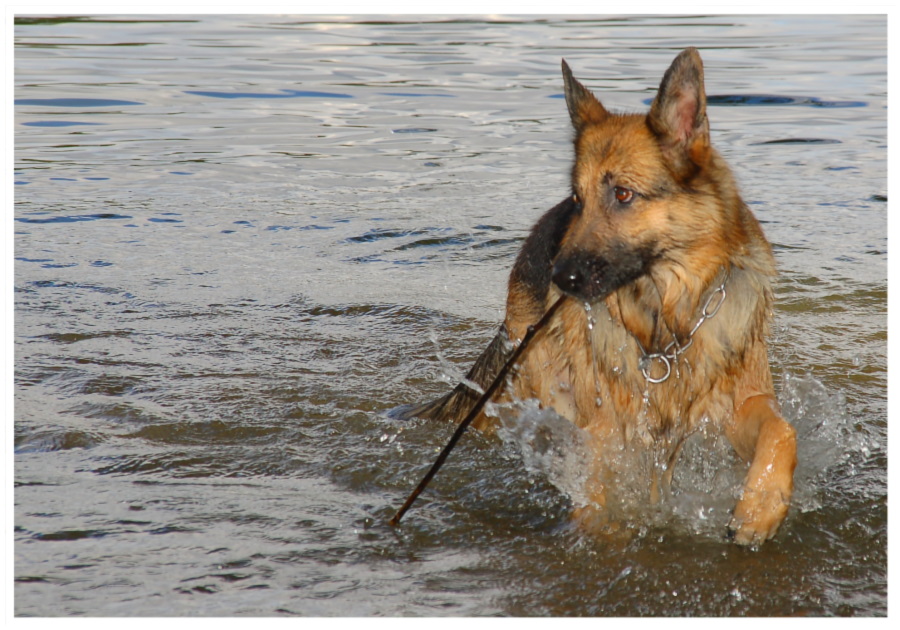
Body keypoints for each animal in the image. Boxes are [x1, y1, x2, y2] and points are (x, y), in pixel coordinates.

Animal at [404, 48, 800, 548]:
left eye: (623, 194)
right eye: (578, 198)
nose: (560, 276)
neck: (665, 321)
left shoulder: (742, 402)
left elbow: (782, 431)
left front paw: (761, 507)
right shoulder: (608, 431)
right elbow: (598, 492)